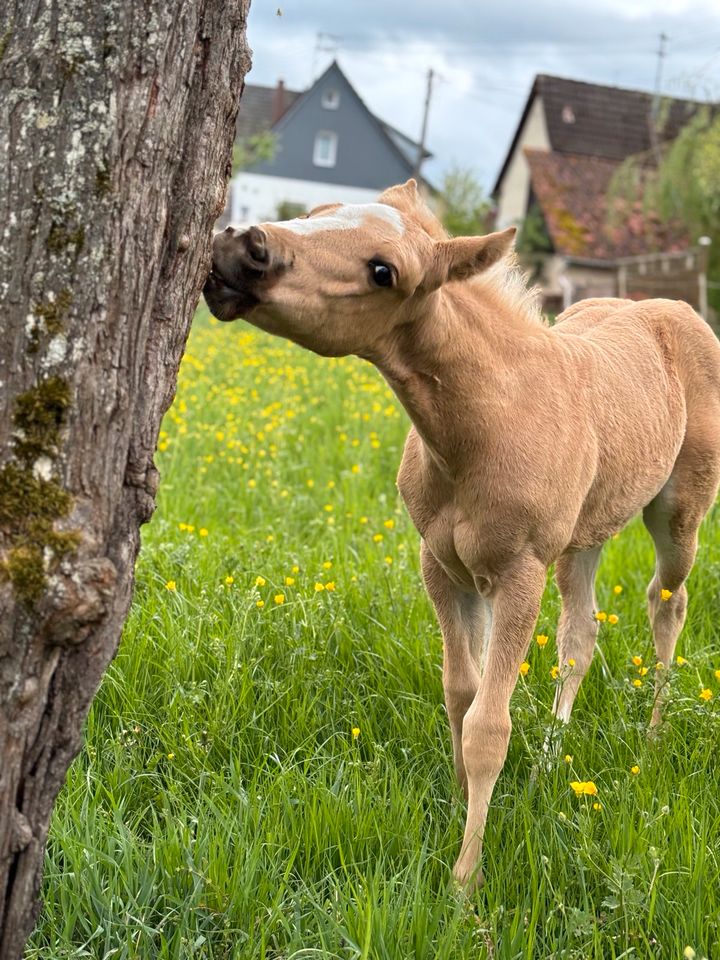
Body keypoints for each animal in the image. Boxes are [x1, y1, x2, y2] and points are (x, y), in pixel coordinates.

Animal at [201, 180, 720, 884]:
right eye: (316, 214)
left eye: (384, 271)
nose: (241, 249)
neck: (487, 420)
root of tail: (673, 306)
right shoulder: (442, 566)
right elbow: (460, 690)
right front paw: (453, 801)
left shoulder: (519, 572)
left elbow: (489, 725)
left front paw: (464, 880)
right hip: (584, 533)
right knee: (579, 636)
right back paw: (551, 763)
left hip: (679, 512)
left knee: (668, 602)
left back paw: (653, 736)